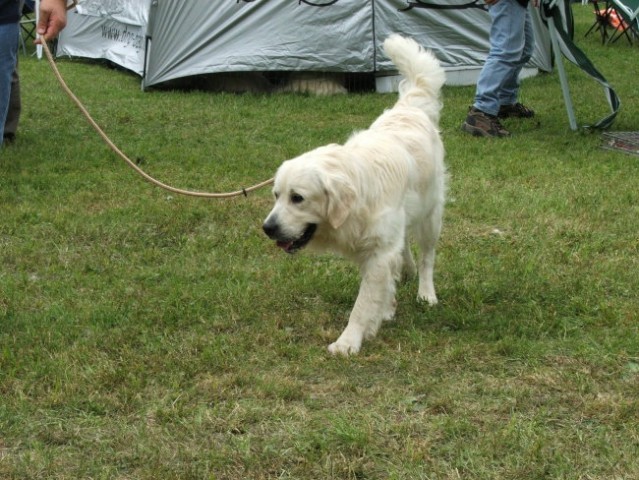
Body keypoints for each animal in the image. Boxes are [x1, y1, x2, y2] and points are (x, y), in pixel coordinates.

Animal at [262, 33, 448, 354]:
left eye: (297, 198)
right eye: (276, 195)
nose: (267, 228)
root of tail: (410, 106)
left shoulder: (377, 252)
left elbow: (363, 303)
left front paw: (348, 341)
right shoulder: (373, 248)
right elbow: (378, 290)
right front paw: (383, 312)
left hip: (430, 215)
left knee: (427, 256)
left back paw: (426, 293)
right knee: (405, 248)